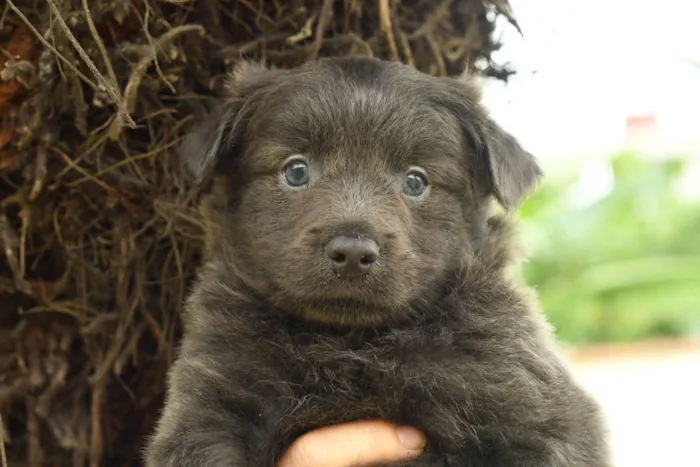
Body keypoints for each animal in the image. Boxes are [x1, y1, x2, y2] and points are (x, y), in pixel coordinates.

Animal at [145, 56, 608, 466]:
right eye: (295, 171)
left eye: (416, 181)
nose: (352, 253)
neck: (351, 344)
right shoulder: (213, 407)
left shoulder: (530, 408)